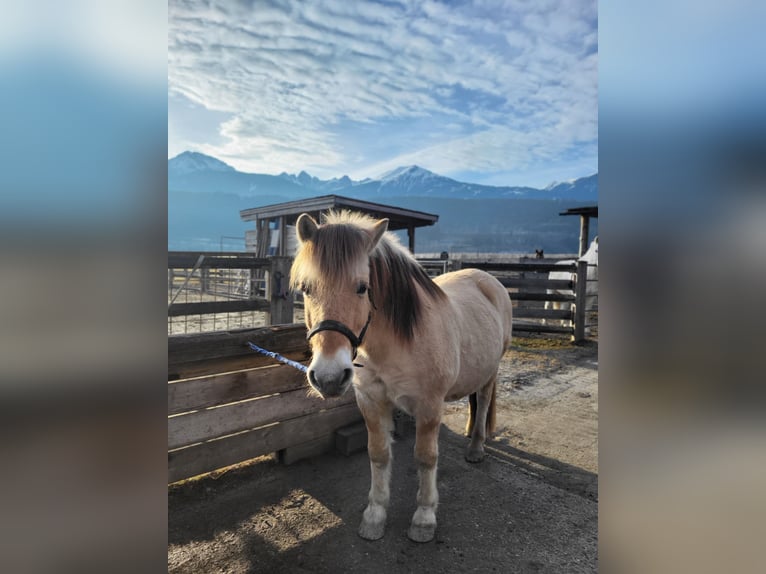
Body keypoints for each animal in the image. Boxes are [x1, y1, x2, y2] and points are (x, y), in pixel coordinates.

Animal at [292, 212, 512, 544]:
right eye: (306, 288)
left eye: (362, 287)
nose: (329, 377)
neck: (396, 343)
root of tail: (486, 278)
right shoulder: (371, 401)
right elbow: (379, 454)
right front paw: (375, 515)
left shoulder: (430, 406)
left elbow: (425, 457)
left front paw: (424, 518)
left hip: (491, 371)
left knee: (484, 401)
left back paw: (476, 448)